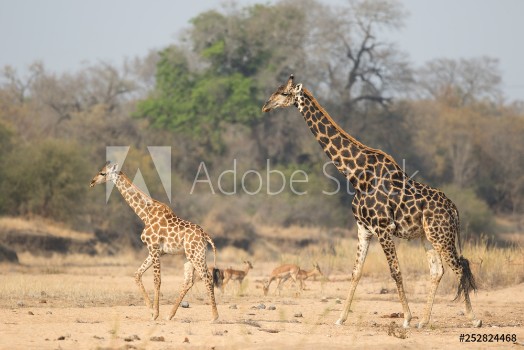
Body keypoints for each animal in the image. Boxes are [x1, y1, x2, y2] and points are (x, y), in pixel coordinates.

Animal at [90, 163, 219, 322]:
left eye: (102, 173)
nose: (92, 182)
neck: (145, 214)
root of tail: (205, 236)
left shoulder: (154, 246)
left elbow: (157, 280)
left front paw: (155, 313)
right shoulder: (157, 250)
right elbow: (137, 274)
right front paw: (151, 310)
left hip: (197, 255)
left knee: (207, 278)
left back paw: (214, 317)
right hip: (190, 256)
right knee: (189, 281)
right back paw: (170, 315)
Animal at [260, 74, 482, 328]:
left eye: (284, 93)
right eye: (277, 90)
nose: (266, 106)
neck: (357, 176)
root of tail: (454, 209)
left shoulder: (383, 227)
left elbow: (395, 271)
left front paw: (406, 317)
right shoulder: (363, 228)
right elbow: (356, 271)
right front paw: (340, 318)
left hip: (441, 235)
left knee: (459, 267)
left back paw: (473, 319)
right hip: (428, 236)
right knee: (438, 271)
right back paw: (425, 321)